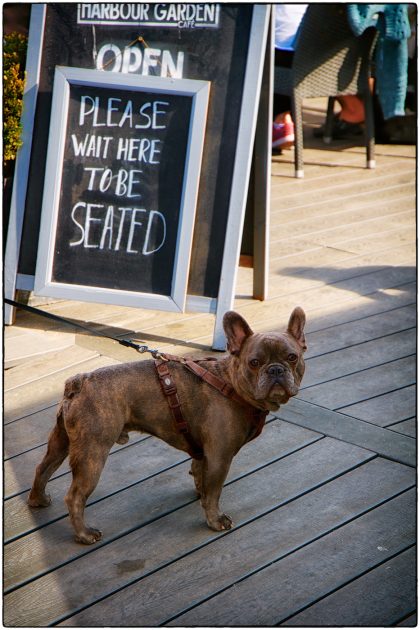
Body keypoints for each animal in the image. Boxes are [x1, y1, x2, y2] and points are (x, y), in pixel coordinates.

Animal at [27, 308, 306, 544]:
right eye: (255, 362)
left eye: (293, 357)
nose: (276, 370)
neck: (230, 383)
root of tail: (78, 381)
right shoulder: (220, 457)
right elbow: (215, 491)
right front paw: (215, 519)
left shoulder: (204, 453)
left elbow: (200, 476)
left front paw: (201, 495)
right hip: (92, 454)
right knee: (74, 497)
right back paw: (84, 534)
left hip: (61, 441)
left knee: (42, 468)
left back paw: (37, 500)